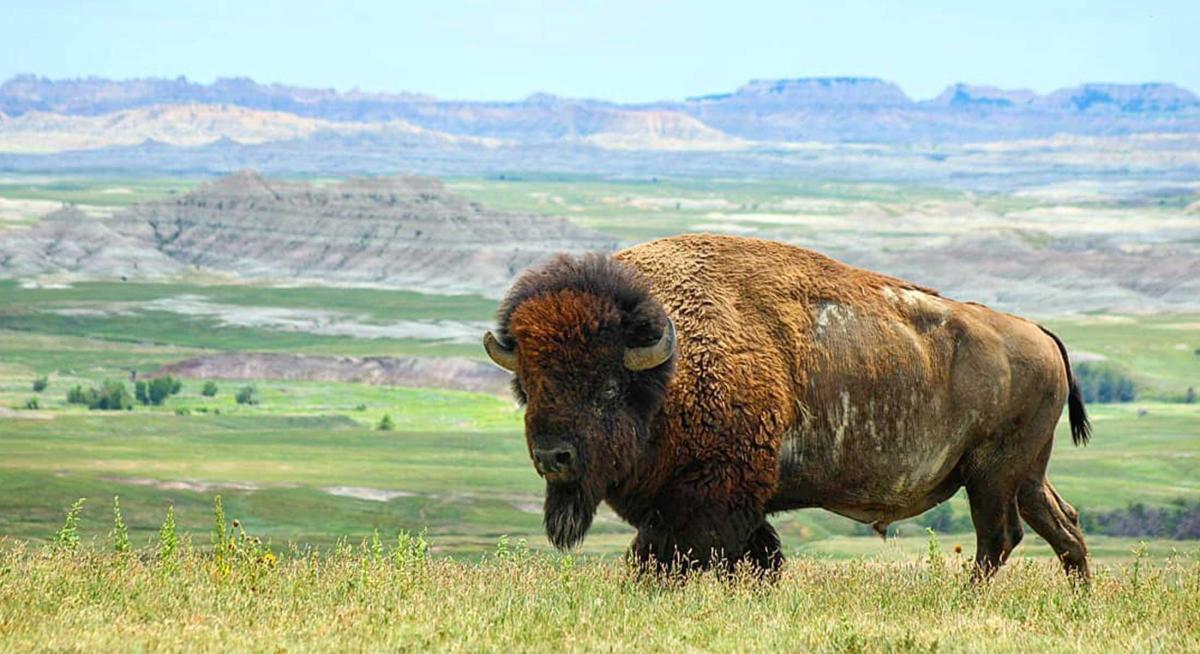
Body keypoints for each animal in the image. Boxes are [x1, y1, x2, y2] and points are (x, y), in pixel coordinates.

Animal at [484, 234, 1092, 579]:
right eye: (529, 385)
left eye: (607, 388)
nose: (553, 457)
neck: (670, 366)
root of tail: (1038, 332)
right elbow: (757, 560)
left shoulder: (707, 498)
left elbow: (665, 559)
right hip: (1025, 474)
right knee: (1062, 525)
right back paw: (1077, 598)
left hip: (991, 476)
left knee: (1000, 539)